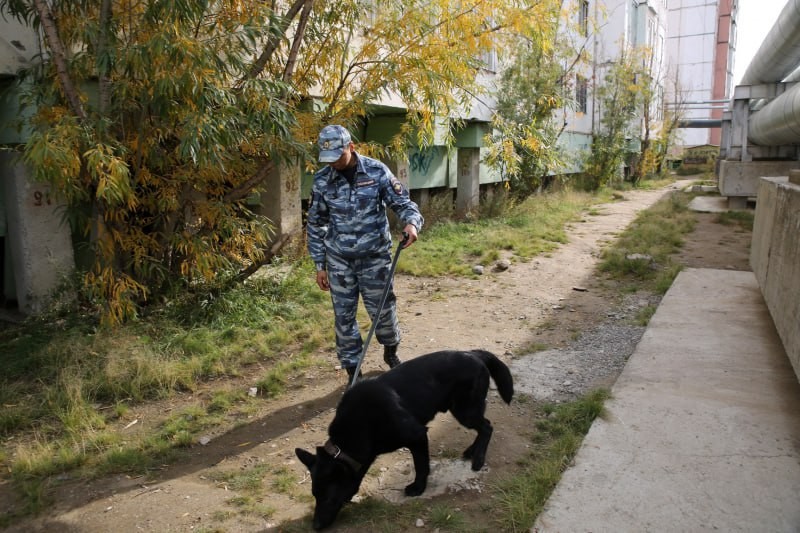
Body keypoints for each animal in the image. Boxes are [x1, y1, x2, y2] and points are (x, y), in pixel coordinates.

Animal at [294, 350, 512, 528]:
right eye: (315, 495)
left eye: (328, 498)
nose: (315, 526)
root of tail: (474, 354)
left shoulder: (417, 436)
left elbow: (421, 465)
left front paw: (418, 488)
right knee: (483, 427)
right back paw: (471, 451)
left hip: (465, 411)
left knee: (487, 427)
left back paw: (478, 458)